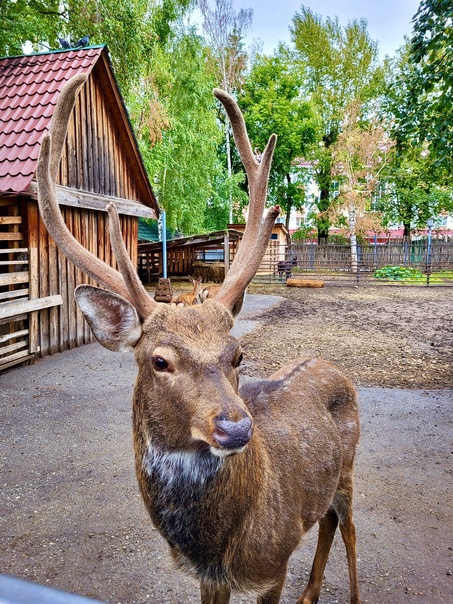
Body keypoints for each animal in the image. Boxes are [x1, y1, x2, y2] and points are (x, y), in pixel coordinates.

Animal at [37, 74, 360, 604]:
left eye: (239, 354)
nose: (235, 427)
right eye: (159, 361)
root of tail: (332, 366)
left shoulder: (274, 564)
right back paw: (311, 592)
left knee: (348, 525)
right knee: (328, 522)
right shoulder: (210, 578)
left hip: (349, 467)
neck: (218, 546)